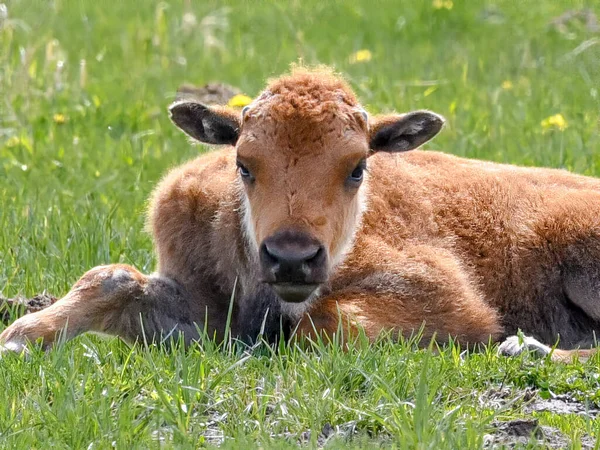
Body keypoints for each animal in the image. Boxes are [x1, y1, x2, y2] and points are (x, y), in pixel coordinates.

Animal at [1, 67, 600, 362]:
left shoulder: (444, 296)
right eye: (243, 163)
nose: (292, 258)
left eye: (358, 167)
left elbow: (319, 326)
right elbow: (114, 278)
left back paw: (526, 349)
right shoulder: (199, 301)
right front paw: (21, 336)